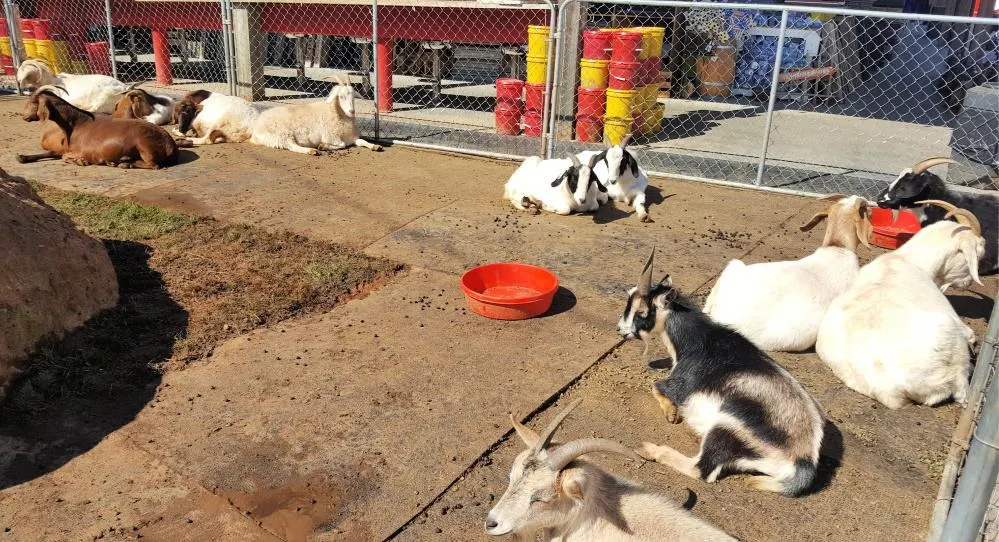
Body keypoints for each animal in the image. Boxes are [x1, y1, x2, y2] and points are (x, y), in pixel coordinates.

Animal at [17, 88, 180, 169]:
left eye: (32, 102)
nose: (24, 116)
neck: (76, 123)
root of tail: (170, 145)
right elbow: (57, 154)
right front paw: (22, 157)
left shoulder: (82, 151)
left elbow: (66, 157)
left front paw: (81, 162)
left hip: (144, 147)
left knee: (154, 165)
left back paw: (124, 163)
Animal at [249, 75, 381, 154]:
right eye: (341, 96)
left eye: (353, 97)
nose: (351, 111)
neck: (334, 112)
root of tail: (256, 127)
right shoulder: (331, 136)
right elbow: (342, 144)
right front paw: (323, 146)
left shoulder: (351, 137)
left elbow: (362, 141)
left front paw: (375, 146)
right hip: (281, 134)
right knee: (291, 146)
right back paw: (311, 151)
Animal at [619, 250, 825, 496]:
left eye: (641, 311)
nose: (620, 330)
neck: (700, 340)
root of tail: (803, 459)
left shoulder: (681, 384)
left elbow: (657, 385)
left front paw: (672, 413)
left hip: (725, 428)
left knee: (701, 470)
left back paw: (649, 449)